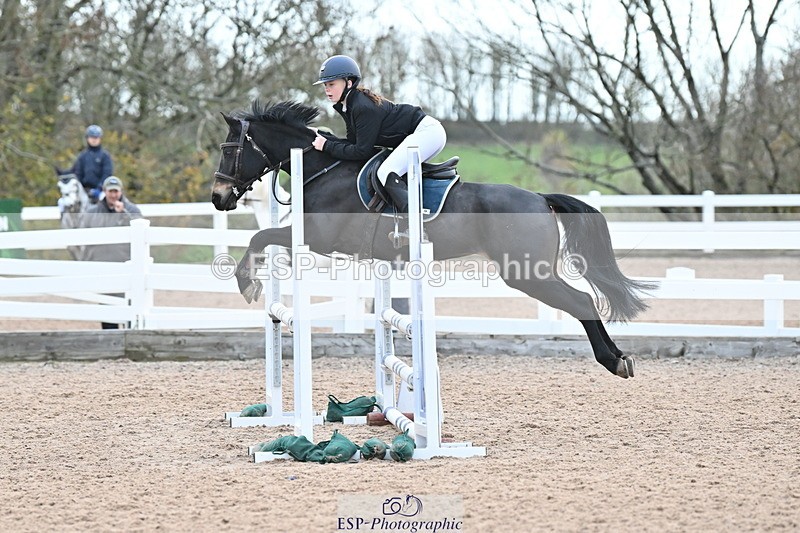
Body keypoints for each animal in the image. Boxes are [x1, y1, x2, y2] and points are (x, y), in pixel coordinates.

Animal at [211, 100, 656, 379]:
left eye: (229, 150)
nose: (219, 198)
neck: (323, 167)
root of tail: (539, 198)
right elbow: (264, 239)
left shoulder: (317, 239)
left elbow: (259, 236)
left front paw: (247, 283)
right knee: (584, 301)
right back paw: (621, 359)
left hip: (528, 272)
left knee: (582, 301)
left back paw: (613, 361)